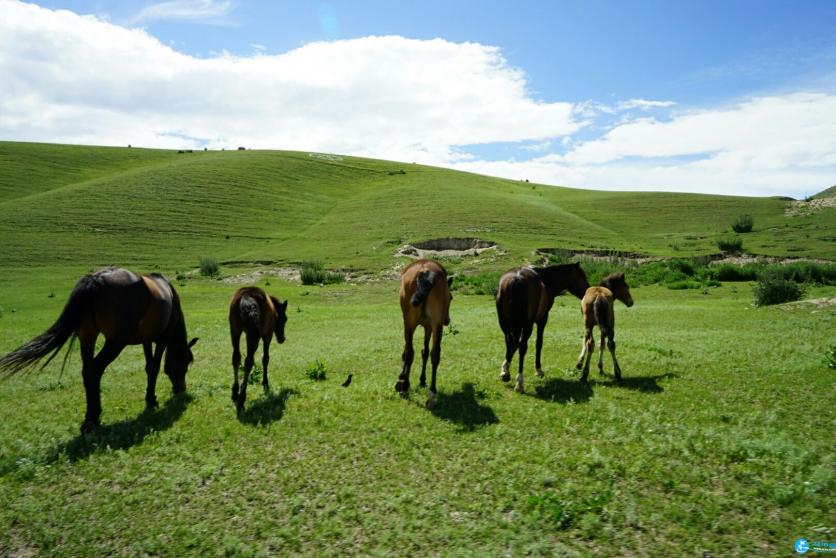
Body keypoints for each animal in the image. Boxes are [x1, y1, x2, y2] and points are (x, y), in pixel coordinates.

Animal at [0, 270, 198, 436]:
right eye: (185, 362)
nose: (180, 389)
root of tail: (95, 280)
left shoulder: (146, 340)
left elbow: (149, 367)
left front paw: (150, 399)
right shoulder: (162, 339)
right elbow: (155, 367)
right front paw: (152, 400)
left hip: (87, 336)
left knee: (87, 371)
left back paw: (90, 418)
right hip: (115, 342)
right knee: (95, 370)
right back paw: (93, 419)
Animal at [396, 260, 454, 410]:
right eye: (451, 298)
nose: (447, 320)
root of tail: (425, 270)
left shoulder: (416, 326)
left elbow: (409, 352)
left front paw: (403, 378)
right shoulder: (428, 327)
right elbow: (425, 352)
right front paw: (420, 379)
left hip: (410, 322)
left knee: (410, 352)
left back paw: (405, 388)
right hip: (435, 324)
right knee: (435, 355)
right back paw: (432, 394)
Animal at [496, 264, 588, 392]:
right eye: (582, 276)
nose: (589, 289)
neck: (546, 281)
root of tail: (516, 279)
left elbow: (513, 345)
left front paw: (505, 370)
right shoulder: (542, 320)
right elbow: (538, 343)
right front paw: (538, 370)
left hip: (505, 324)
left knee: (510, 342)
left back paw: (507, 373)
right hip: (527, 325)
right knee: (522, 347)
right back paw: (520, 382)